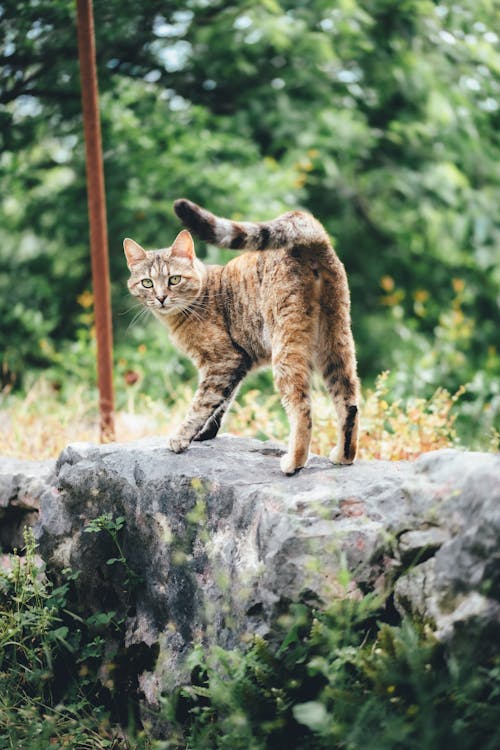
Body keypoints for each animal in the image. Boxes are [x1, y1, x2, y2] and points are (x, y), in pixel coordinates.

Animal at [124, 200, 360, 476]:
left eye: (174, 279)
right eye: (147, 283)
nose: (161, 298)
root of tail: (312, 235)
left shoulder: (223, 362)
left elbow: (202, 404)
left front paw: (181, 437)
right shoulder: (236, 364)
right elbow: (222, 402)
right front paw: (205, 433)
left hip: (288, 346)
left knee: (302, 409)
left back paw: (293, 462)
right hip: (335, 338)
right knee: (349, 401)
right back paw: (343, 456)